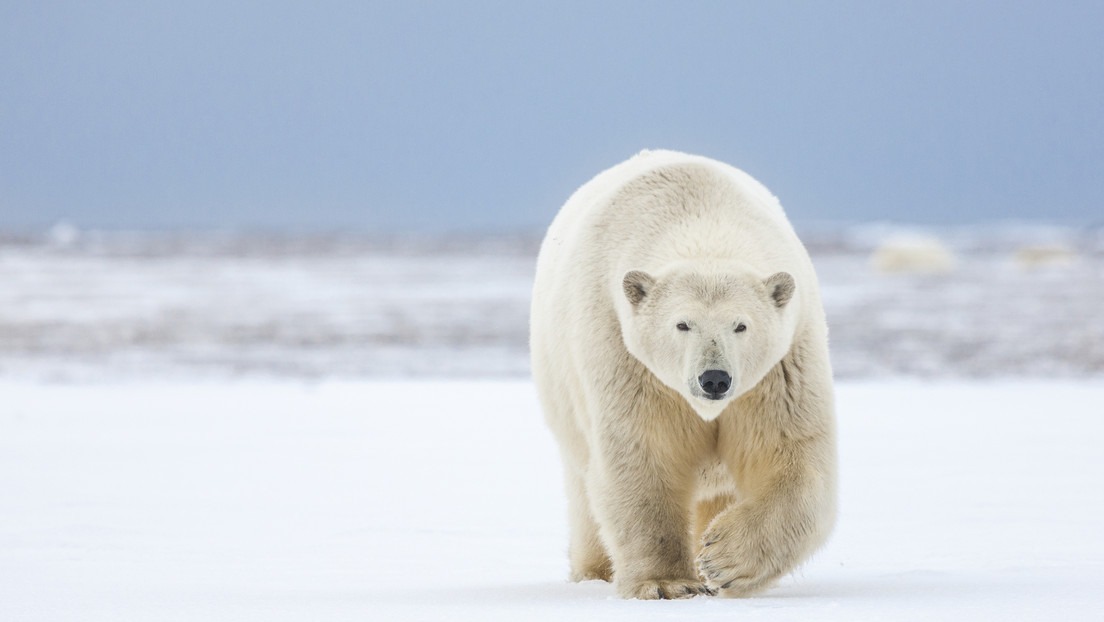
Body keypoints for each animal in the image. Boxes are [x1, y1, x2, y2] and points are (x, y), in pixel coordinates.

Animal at [527, 149, 834, 596]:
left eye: (741, 325)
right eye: (682, 324)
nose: (714, 379)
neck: (700, 218)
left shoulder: (782, 367)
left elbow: (790, 455)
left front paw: (721, 559)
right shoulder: (626, 356)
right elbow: (643, 455)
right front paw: (667, 583)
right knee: (585, 492)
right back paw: (594, 571)